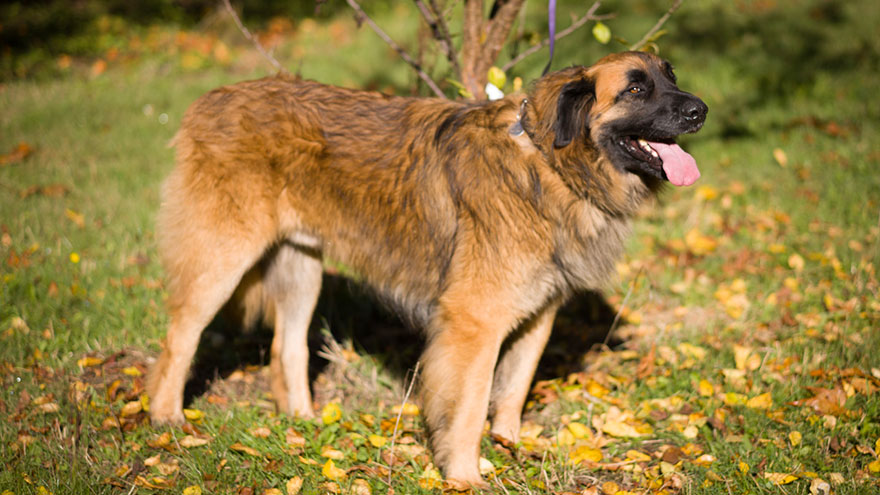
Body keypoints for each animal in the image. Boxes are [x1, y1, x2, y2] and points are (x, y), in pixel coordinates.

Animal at [146, 51, 708, 488]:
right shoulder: (473, 324)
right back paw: (167, 419)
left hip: (301, 266)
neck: (550, 164)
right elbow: (469, 405)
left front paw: (510, 447)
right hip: (221, 260)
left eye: (672, 77)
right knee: (180, 339)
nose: (701, 110)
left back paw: (303, 422)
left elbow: (513, 389)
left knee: (287, 348)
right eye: (636, 88)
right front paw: (464, 476)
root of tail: (210, 99)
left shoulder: (540, 312)